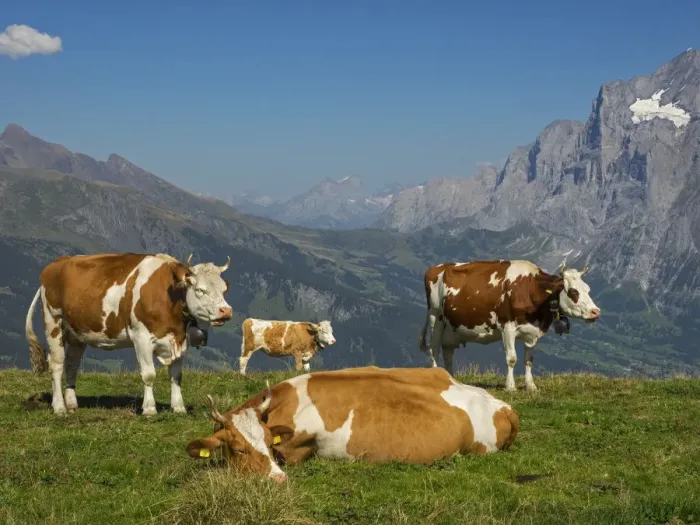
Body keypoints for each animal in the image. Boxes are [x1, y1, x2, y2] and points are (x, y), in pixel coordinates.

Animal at [24, 252, 234, 416]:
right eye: (200, 290)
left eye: (224, 290)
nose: (226, 311)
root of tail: (57, 263)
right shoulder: (141, 337)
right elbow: (148, 374)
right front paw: (149, 409)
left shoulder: (178, 339)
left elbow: (176, 375)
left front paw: (178, 407)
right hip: (53, 320)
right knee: (56, 364)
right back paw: (59, 407)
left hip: (77, 333)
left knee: (71, 365)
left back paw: (72, 403)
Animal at [419, 259, 601, 392]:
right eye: (573, 291)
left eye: (588, 289)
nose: (596, 312)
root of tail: (436, 267)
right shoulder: (507, 328)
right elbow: (512, 358)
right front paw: (511, 387)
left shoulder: (532, 332)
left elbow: (529, 360)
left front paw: (531, 386)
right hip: (436, 317)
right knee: (433, 350)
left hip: (451, 328)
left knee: (447, 352)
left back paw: (451, 379)